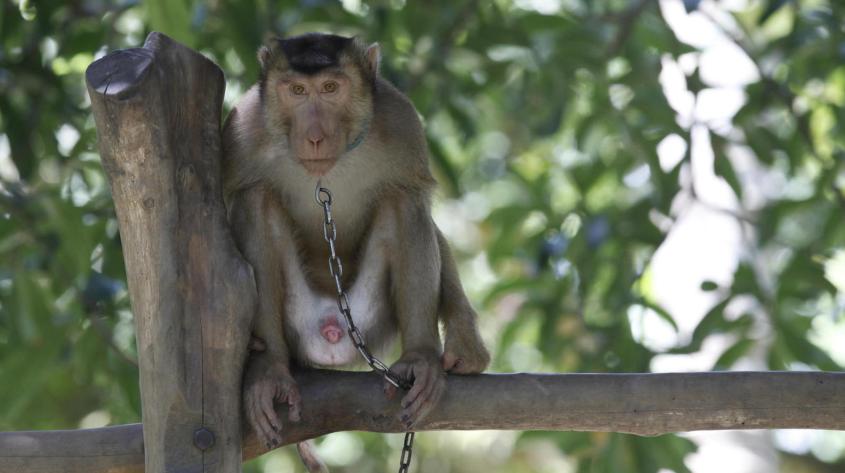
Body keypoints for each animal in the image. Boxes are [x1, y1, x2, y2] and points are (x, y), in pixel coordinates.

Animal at [222, 33, 490, 453]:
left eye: (331, 88)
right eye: (297, 91)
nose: (314, 137)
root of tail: (332, 330)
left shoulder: (402, 124)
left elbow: (417, 199)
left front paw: (464, 341)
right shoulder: (242, 131)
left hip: (369, 320)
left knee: (402, 201)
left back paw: (420, 359)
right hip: (299, 323)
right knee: (256, 199)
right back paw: (270, 372)